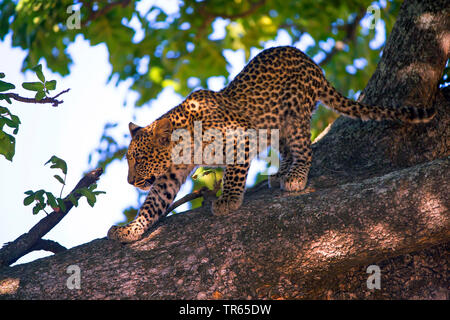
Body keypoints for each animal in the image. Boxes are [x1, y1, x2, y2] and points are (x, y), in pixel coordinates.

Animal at [106, 45, 436, 242]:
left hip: (295, 116)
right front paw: (130, 230)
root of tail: (312, 63)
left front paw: (228, 200)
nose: (130, 181)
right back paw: (282, 172)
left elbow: (234, 173)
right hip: (279, 126)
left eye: (140, 159)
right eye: (130, 160)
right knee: (289, 150)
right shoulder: (169, 175)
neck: (184, 147)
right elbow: (152, 204)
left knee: (305, 150)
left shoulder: (241, 137)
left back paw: (295, 177)